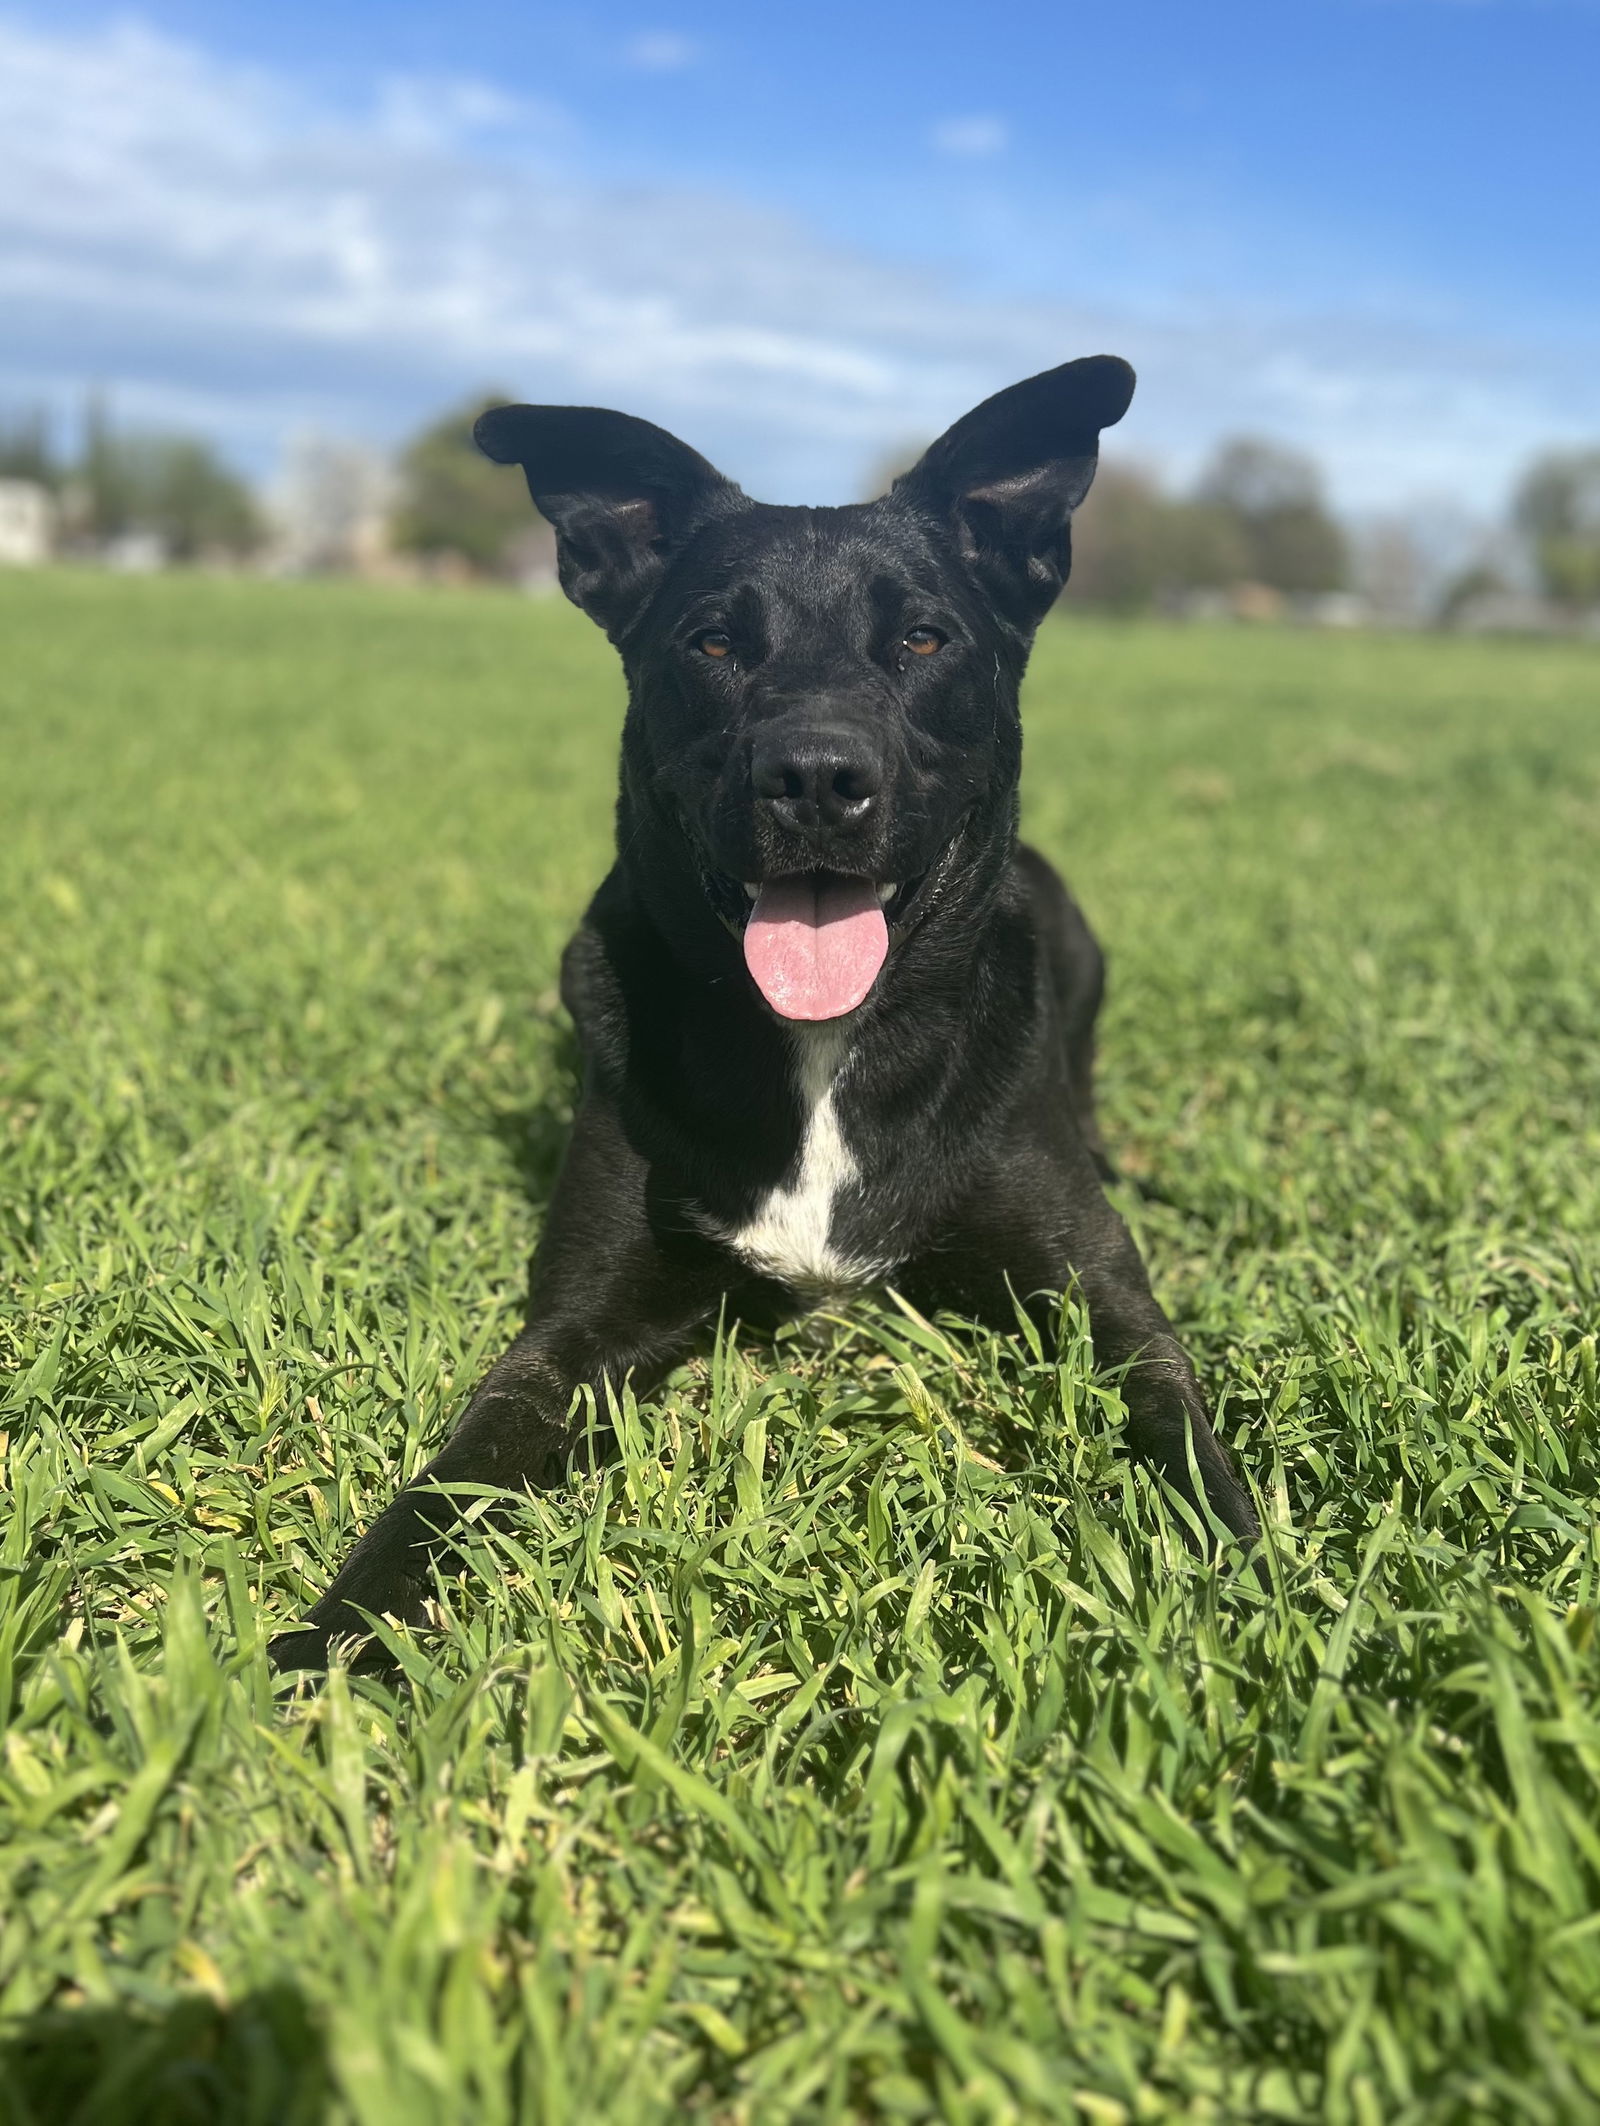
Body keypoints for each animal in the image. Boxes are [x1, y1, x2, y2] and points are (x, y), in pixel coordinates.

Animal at [280, 357, 1266, 1666]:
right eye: (711, 639)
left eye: (921, 634)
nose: (813, 777)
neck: (824, 1051)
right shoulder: (573, 1328)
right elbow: (454, 1472)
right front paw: (330, 1638)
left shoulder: (1101, 1297)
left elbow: (1182, 1439)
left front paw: (1255, 1594)